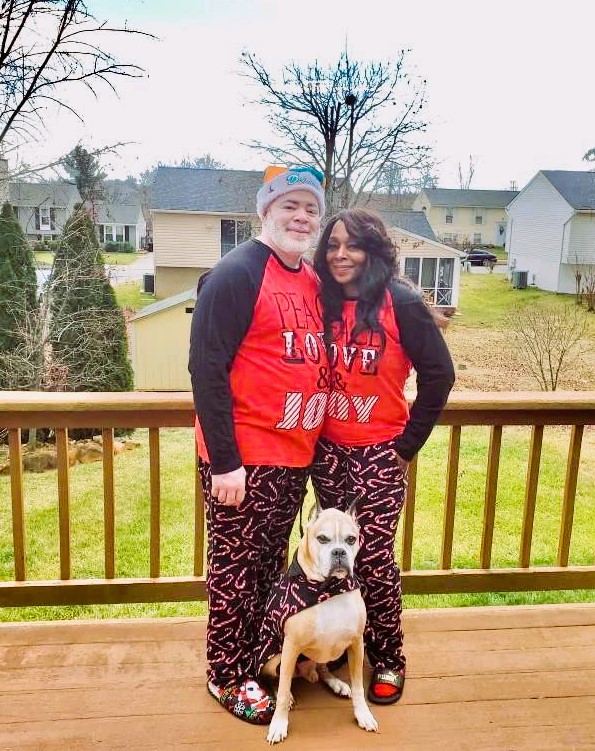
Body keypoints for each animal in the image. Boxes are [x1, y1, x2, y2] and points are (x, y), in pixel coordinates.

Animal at [260, 502, 378, 744]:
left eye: (351, 539)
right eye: (322, 539)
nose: (339, 552)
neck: (329, 588)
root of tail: (306, 673)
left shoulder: (356, 643)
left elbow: (359, 686)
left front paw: (363, 714)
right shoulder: (291, 646)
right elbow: (283, 689)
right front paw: (278, 724)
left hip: (333, 650)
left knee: (322, 668)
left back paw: (336, 683)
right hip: (274, 656)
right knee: (275, 679)